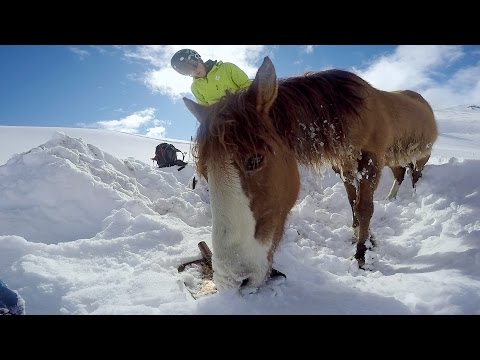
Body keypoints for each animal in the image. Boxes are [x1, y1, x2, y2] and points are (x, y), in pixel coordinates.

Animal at [184, 57, 438, 292]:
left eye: (255, 160)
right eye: (205, 172)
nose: (233, 281)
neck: (347, 111)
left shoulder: (370, 162)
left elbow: (364, 208)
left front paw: (361, 254)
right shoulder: (344, 164)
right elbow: (352, 202)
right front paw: (358, 234)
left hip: (420, 155)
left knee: (415, 175)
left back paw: (414, 198)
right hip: (394, 157)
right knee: (400, 173)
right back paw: (391, 198)